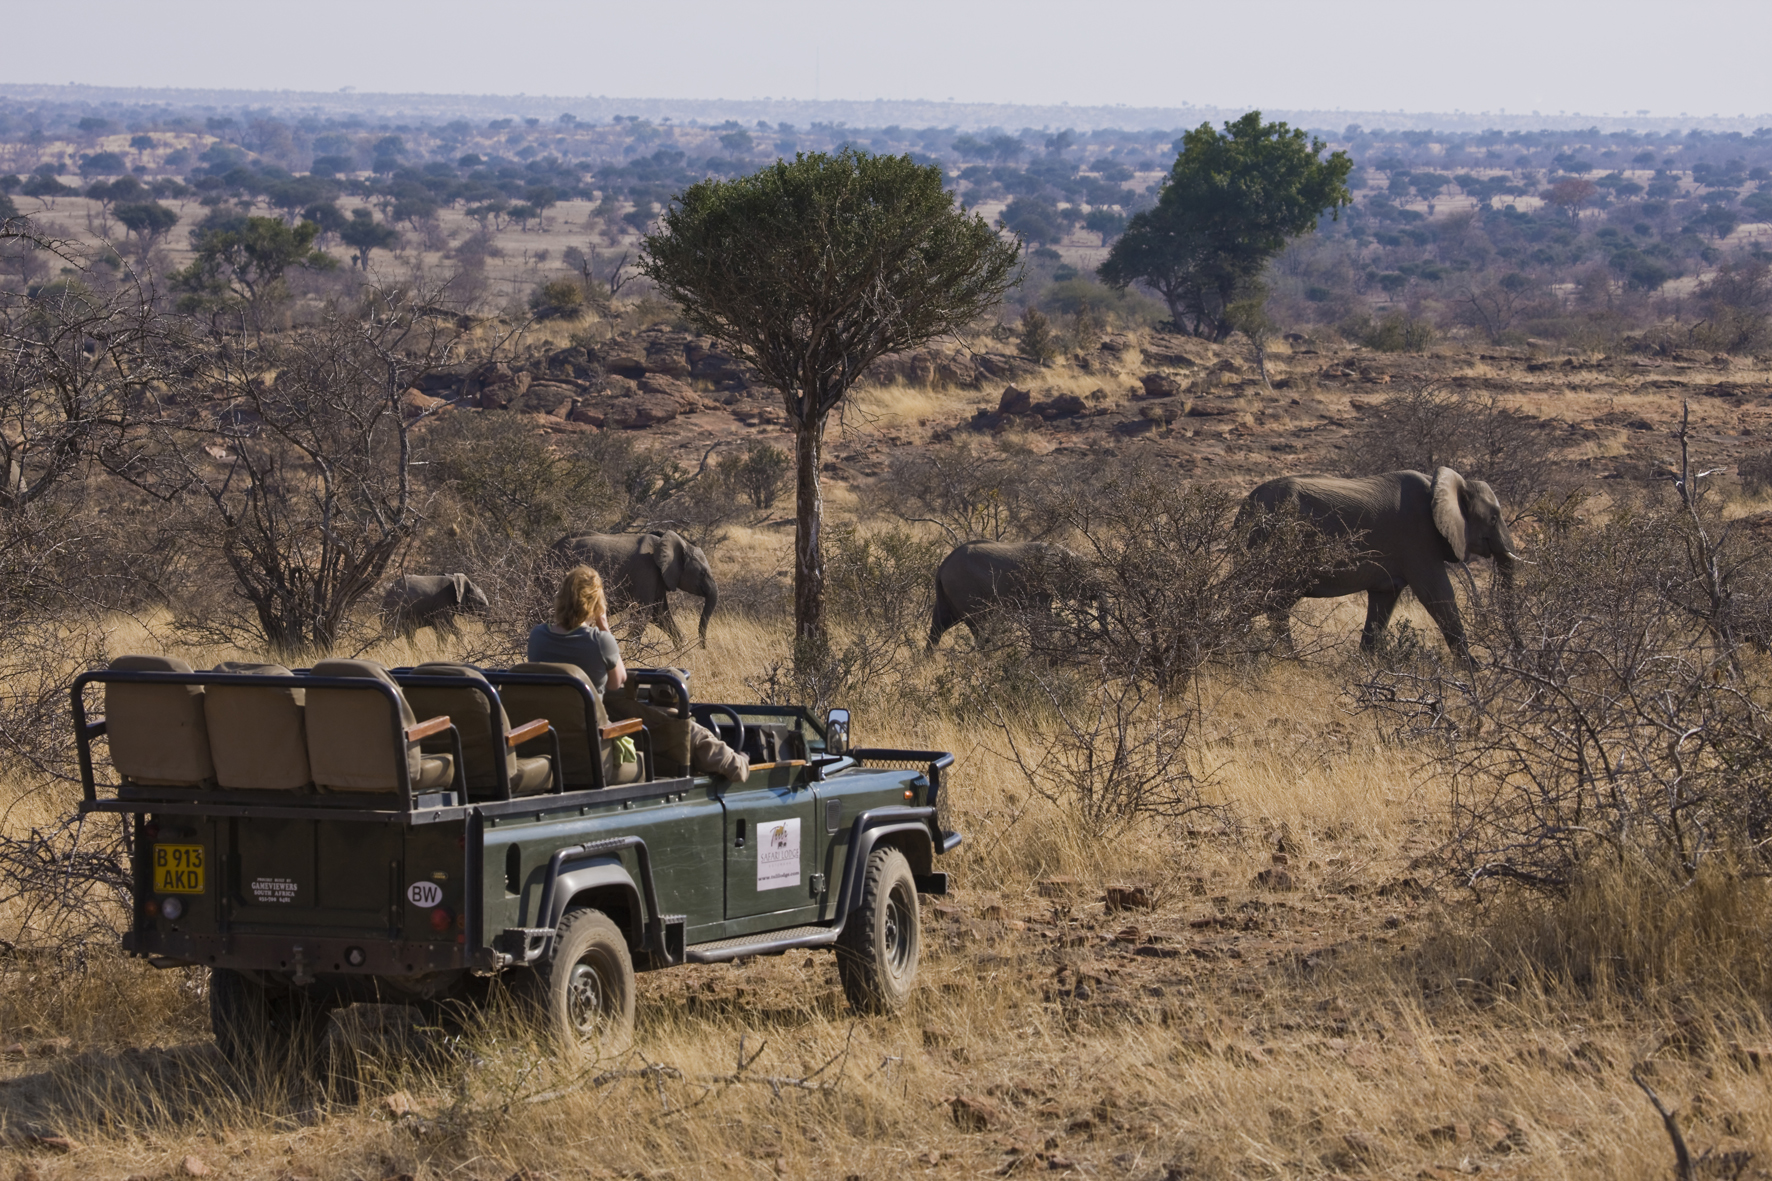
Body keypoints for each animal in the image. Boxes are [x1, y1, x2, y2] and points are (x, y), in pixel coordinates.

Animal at [551, 530, 717, 647]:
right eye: (702, 573)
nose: (703, 646)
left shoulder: (658, 577)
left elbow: (660, 614)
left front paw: (682, 652)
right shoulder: (646, 571)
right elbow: (643, 613)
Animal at [928, 540, 1080, 648]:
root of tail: (942, 567)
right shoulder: (1040, 585)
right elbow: (1041, 617)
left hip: (948, 594)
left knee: (938, 627)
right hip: (964, 589)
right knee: (979, 627)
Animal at [1240, 467, 1518, 658]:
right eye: (1494, 518)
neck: (1440, 482)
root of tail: (1245, 508)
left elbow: (1384, 600)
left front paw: (1365, 664)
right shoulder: (1418, 539)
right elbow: (1437, 594)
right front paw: (1474, 671)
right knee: (1266, 599)